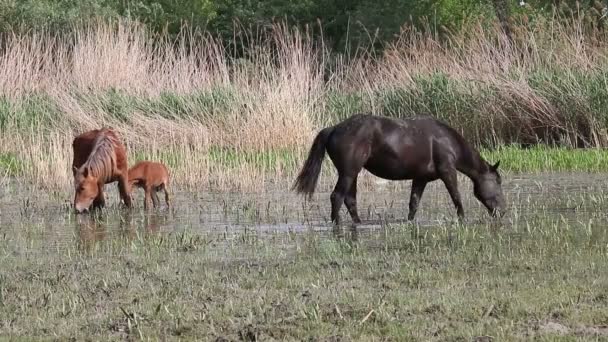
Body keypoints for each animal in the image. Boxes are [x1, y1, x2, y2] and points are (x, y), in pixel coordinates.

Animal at [292, 113, 506, 223]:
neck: (447, 141)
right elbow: (456, 197)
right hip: (348, 173)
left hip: (351, 174)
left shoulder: (420, 178)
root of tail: (334, 128)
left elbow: (414, 203)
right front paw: (462, 219)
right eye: (498, 181)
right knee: (337, 197)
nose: (503, 211)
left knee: (349, 200)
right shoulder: (448, 171)